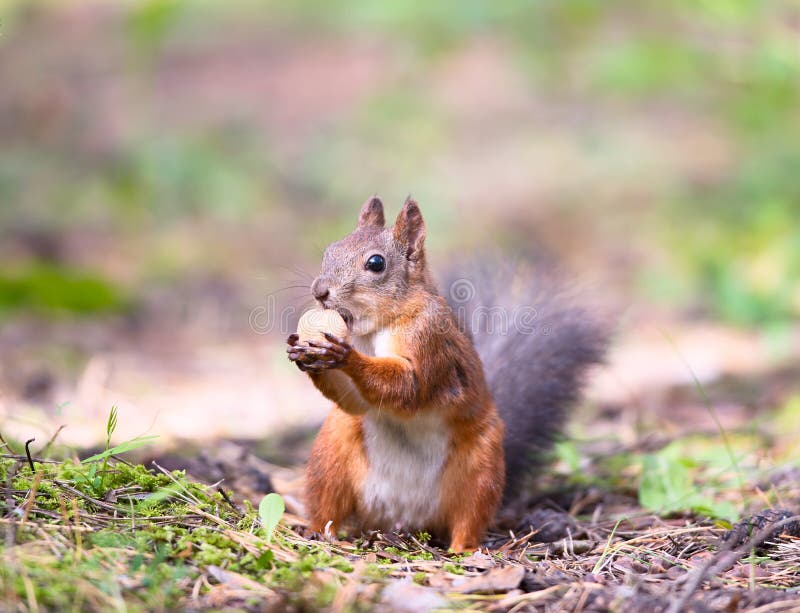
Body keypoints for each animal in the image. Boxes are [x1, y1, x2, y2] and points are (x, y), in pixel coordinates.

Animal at [288, 195, 608, 548]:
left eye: (376, 263)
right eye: (329, 250)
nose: (319, 292)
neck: (377, 328)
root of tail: (405, 519)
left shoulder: (430, 341)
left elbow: (408, 386)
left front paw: (345, 356)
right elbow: (354, 401)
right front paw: (303, 354)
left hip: (480, 470)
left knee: (468, 517)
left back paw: (462, 549)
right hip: (331, 455)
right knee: (328, 505)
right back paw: (317, 531)